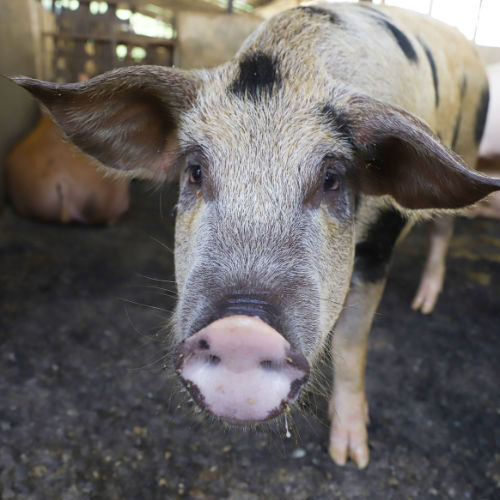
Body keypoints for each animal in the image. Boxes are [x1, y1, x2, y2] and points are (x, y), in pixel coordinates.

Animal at [11, 3, 500, 468]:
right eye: (195, 171)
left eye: (331, 180)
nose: (241, 330)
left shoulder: (380, 244)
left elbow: (350, 342)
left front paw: (351, 458)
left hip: (467, 146)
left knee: (444, 229)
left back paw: (424, 305)